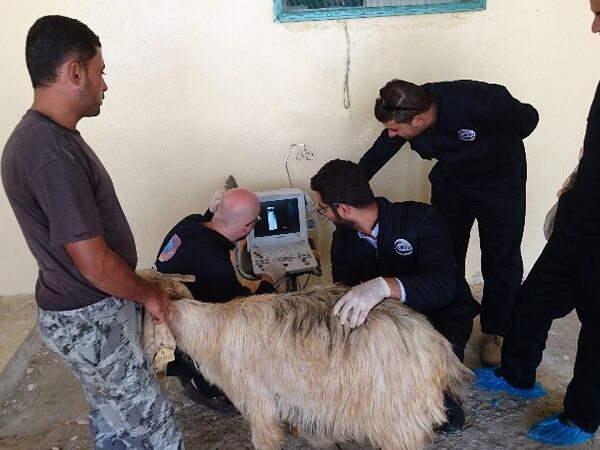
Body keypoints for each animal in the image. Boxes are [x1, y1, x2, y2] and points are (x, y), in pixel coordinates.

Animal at [145, 284, 472, 450]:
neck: (214, 330)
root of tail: (436, 345)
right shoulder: (299, 398)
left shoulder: (259, 402)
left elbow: (265, 440)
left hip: (396, 417)